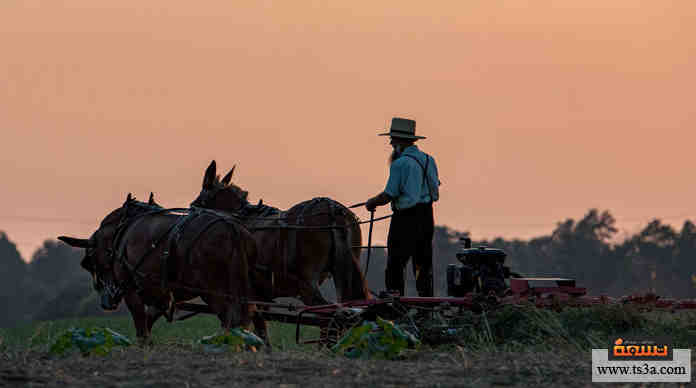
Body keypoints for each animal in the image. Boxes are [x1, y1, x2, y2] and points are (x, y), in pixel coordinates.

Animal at [59, 194, 272, 346]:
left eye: (89, 263)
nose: (106, 302)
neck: (120, 232)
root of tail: (231, 228)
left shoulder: (130, 290)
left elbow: (140, 323)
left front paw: (143, 347)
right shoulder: (162, 295)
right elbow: (149, 319)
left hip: (212, 290)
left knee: (231, 318)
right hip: (245, 286)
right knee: (253, 316)